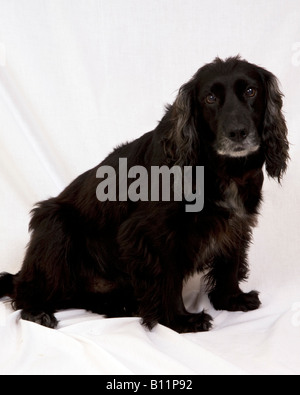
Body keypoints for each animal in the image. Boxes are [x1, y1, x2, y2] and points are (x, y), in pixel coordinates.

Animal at [1, 57, 290, 332]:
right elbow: (169, 278)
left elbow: (231, 263)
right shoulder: (154, 232)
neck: (220, 169)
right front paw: (180, 320)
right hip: (56, 225)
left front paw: (232, 300)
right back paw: (37, 311)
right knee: (24, 289)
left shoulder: (237, 223)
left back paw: (120, 305)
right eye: (210, 98)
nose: (238, 133)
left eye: (251, 91)